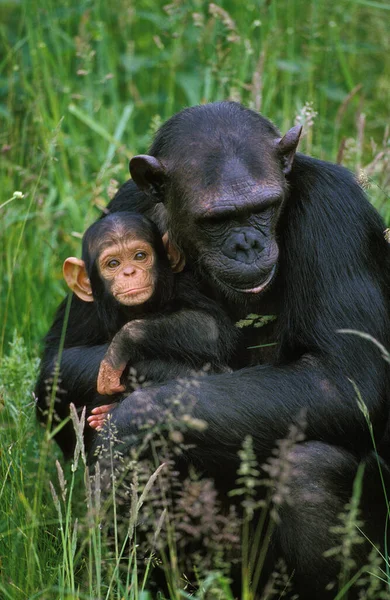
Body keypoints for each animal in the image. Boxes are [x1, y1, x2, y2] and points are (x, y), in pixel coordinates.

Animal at [64, 213, 238, 428]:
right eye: (113, 264)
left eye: (140, 256)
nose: (129, 272)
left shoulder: (184, 288)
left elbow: (211, 328)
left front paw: (117, 350)